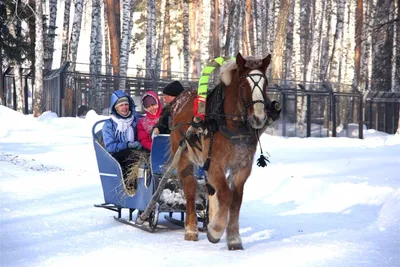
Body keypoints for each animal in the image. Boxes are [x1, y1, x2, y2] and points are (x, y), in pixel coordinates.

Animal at [168, 52, 276, 251]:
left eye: (265, 84)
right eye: (243, 85)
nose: (258, 118)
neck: (230, 124)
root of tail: (179, 100)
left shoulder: (242, 167)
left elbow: (236, 199)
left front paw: (233, 237)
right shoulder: (215, 164)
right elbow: (226, 194)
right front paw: (216, 230)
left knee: (211, 191)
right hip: (184, 156)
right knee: (190, 188)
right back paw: (192, 229)